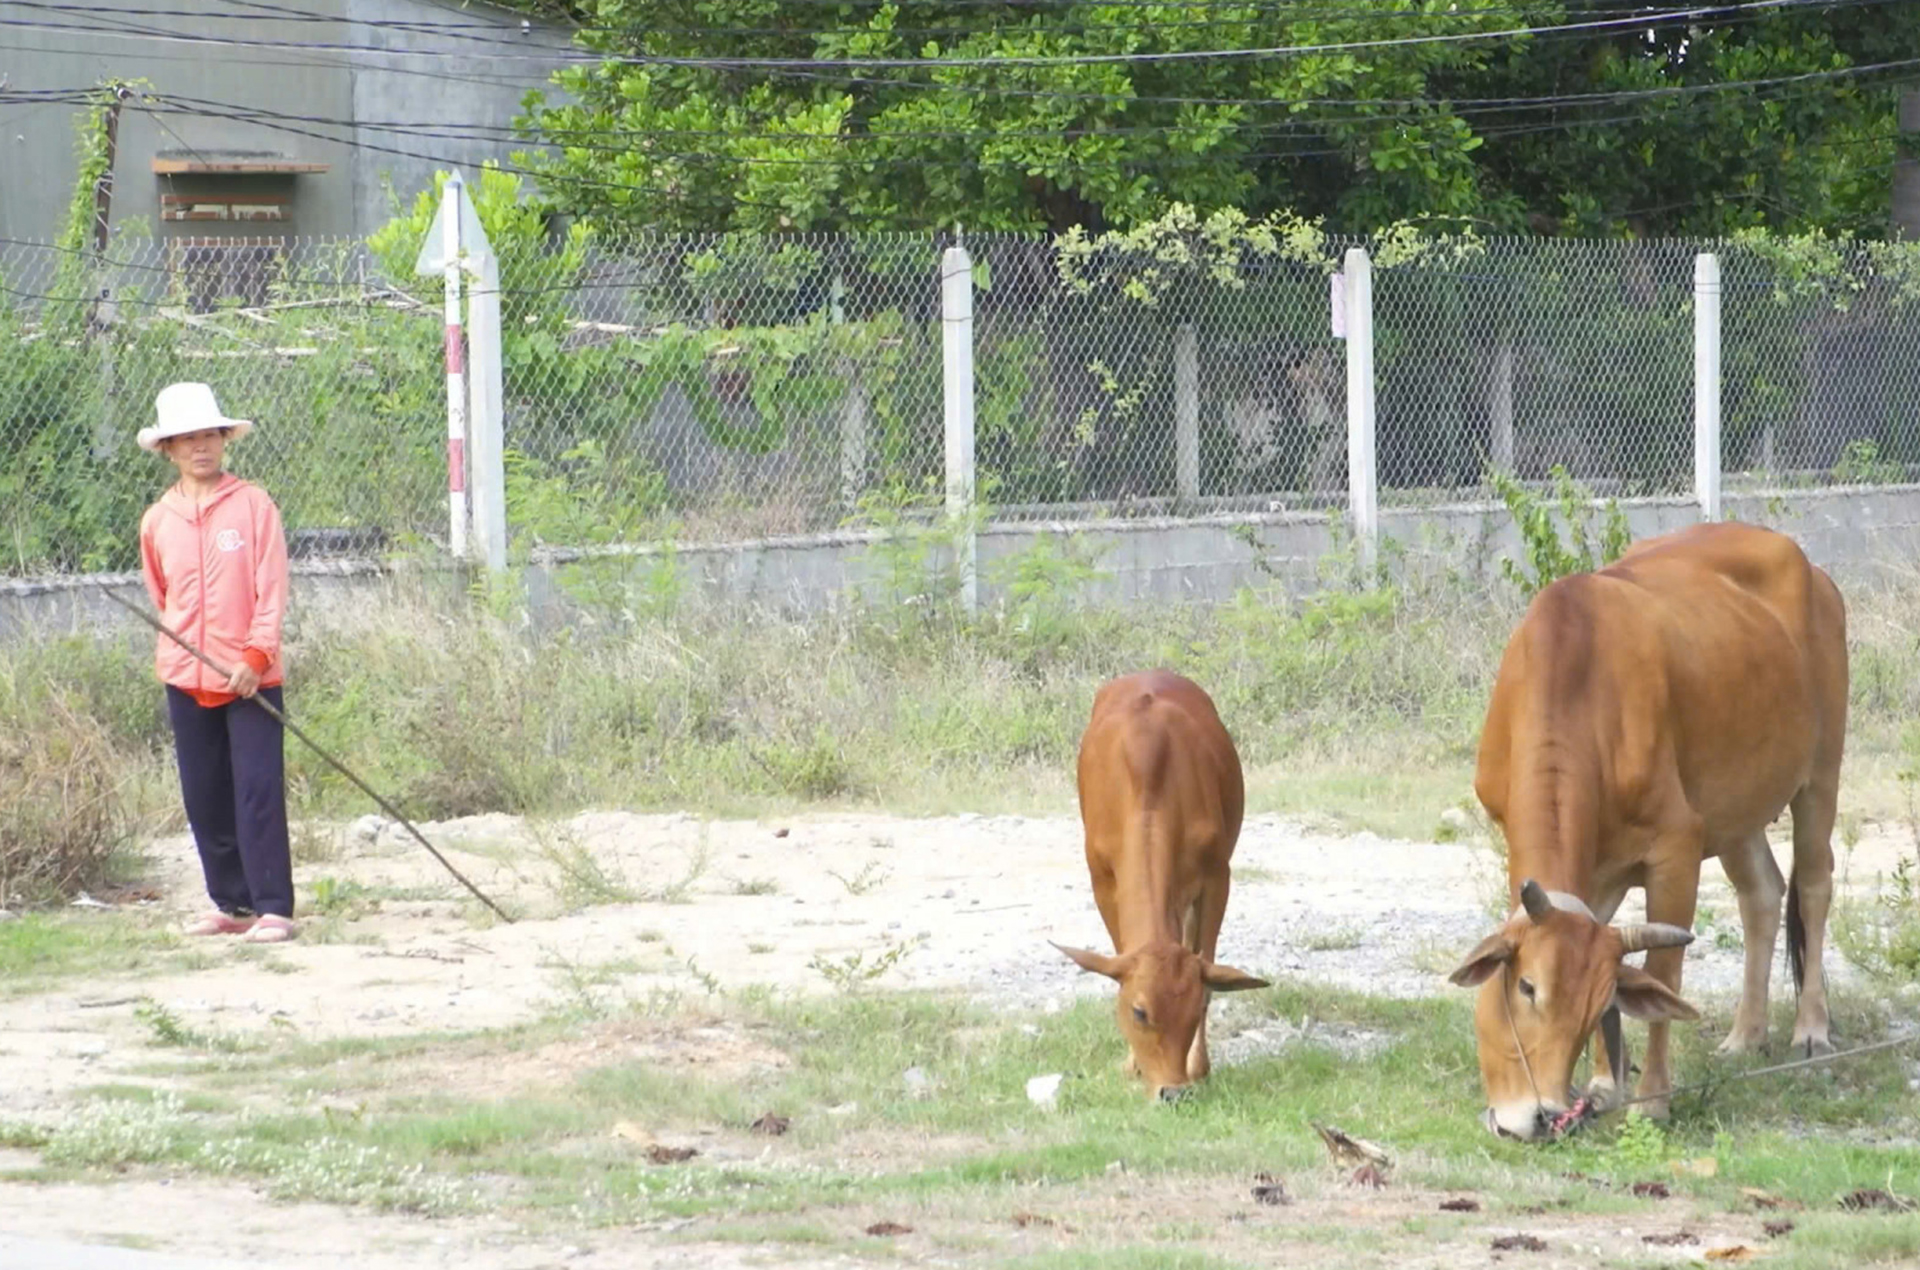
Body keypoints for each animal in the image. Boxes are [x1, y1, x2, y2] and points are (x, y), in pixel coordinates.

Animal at [1451, 518, 1843, 1137]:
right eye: (1526, 986)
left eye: (1591, 1005)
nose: (1538, 1117)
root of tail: (1817, 574)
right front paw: (1603, 1084)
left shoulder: (1676, 847)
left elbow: (1665, 972)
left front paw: (1652, 1098)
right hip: (1737, 811)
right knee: (1762, 893)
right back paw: (1745, 1036)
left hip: (1820, 776)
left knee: (1813, 885)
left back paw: (1811, 1030)